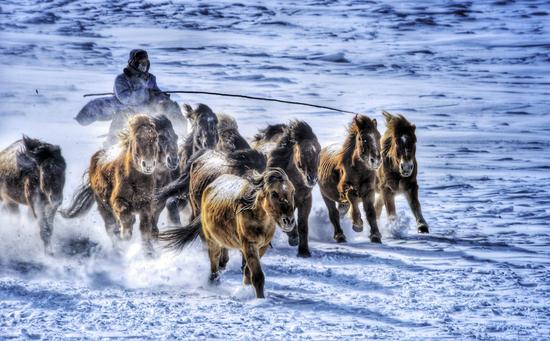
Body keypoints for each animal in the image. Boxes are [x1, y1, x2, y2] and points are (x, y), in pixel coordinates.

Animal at [161, 167, 298, 298]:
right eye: (274, 193)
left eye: (292, 192)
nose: (289, 221)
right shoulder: (249, 245)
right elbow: (258, 276)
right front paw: (260, 298)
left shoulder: (262, 247)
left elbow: (248, 272)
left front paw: (246, 289)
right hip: (212, 241)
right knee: (214, 263)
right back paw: (214, 283)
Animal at [252, 119, 322, 255]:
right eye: (302, 153)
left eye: (318, 152)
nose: (312, 179)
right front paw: (293, 238)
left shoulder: (306, 199)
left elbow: (303, 225)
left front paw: (304, 251)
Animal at [320, 115, 384, 243]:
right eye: (363, 139)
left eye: (379, 136)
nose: (376, 160)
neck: (359, 171)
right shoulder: (344, 188)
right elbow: (352, 197)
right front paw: (357, 225)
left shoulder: (369, 191)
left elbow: (371, 212)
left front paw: (375, 235)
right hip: (326, 195)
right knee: (333, 213)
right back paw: (340, 236)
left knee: (341, 211)